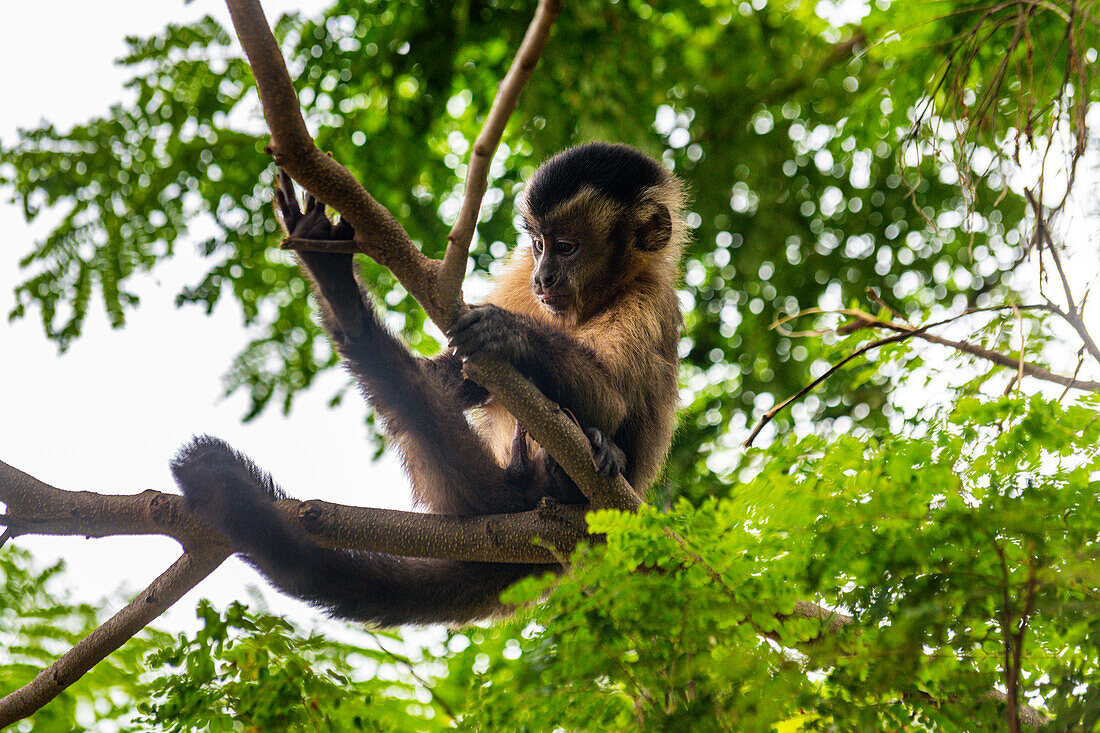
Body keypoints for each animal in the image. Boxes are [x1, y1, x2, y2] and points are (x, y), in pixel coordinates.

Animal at [171, 140, 682, 620]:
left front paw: (510, 335)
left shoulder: (648, 297)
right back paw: (342, 300)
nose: (545, 277)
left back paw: (575, 467)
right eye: (539, 244)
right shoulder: (520, 278)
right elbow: (453, 380)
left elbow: (612, 401)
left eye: (567, 247)